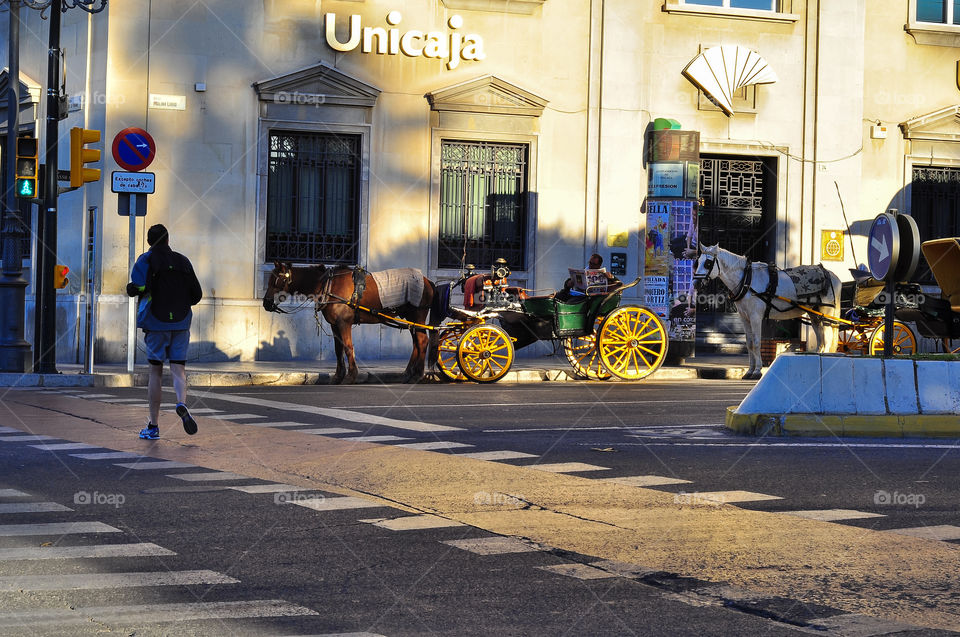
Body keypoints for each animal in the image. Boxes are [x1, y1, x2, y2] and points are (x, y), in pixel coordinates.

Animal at [262, 262, 442, 382]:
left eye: (275, 281)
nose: (266, 303)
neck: (327, 285)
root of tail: (427, 281)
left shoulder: (344, 323)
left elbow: (348, 347)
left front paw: (351, 375)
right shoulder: (334, 325)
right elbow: (338, 349)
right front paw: (338, 376)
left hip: (417, 315)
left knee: (422, 341)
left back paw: (418, 374)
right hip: (411, 319)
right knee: (416, 343)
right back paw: (408, 373)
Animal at [688, 245, 840, 378]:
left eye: (708, 263)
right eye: (698, 262)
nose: (696, 283)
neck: (747, 280)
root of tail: (832, 275)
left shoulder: (755, 317)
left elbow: (756, 342)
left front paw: (757, 371)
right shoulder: (744, 317)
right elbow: (749, 343)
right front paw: (749, 371)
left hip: (826, 313)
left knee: (827, 337)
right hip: (815, 315)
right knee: (821, 337)